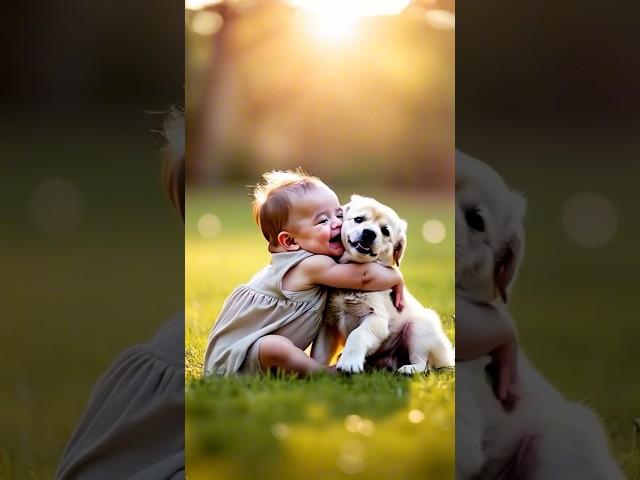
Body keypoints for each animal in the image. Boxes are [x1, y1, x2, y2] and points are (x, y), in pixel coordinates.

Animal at [312, 195, 456, 376]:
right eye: (358, 219)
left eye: (385, 231)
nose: (369, 233)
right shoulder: (328, 324)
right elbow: (320, 353)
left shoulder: (376, 318)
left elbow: (357, 334)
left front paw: (349, 362)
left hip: (419, 327)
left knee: (424, 364)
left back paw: (409, 368)